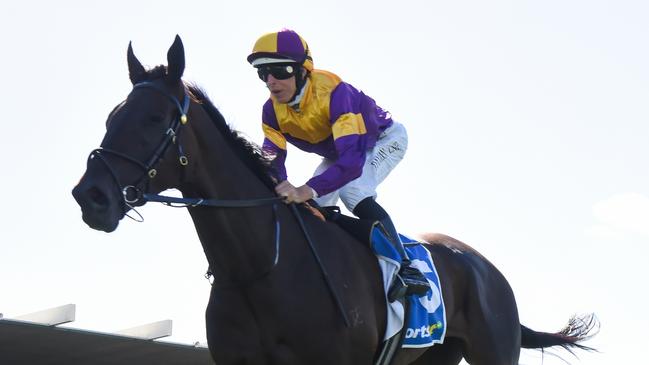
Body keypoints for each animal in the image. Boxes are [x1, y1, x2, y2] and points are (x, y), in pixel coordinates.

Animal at [72, 36, 596, 364]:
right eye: (113, 115)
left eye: (155, 118)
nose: (90, 196)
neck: (260, 267)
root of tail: (488, 270)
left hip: (494, 352)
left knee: (360, 190)